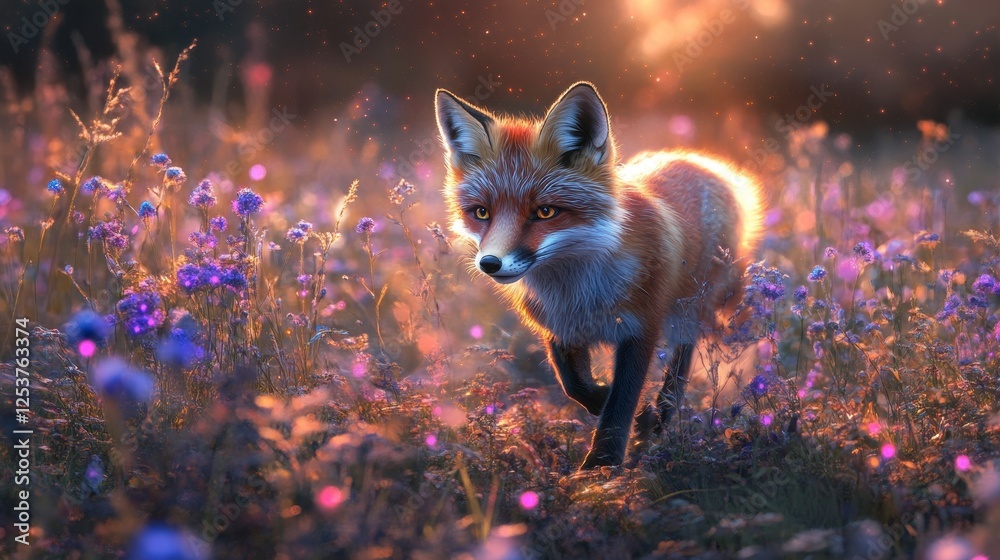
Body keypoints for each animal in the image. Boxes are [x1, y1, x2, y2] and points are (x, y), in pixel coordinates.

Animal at [434, 82, 763, 469]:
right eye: (481, 213)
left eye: (545, 212)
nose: (490, 263)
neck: (579, 290)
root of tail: (704, 162)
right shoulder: (559, 328)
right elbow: (578, 388)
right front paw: (632, 417)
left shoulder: (641, 327)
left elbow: (620, 401)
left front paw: (601, 465)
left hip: (688, 311)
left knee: (681, 365)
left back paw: (663, 414)